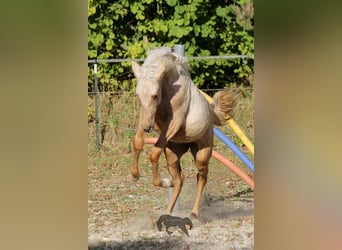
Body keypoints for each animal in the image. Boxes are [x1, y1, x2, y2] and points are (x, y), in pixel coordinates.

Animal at [130, 47, 236, 217]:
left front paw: (163, 181)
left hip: (201, 154)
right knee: (180, 180)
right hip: (172, 153)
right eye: (138, 95)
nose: (147, 128)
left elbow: (154, 153)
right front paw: (135, 174)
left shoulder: (174, 122)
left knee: (201, 177)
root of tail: (211, 112)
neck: (168, 86)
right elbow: (138, 142)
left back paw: (194, 213)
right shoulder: (147, 115)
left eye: (155, 95)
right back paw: (168, 210)